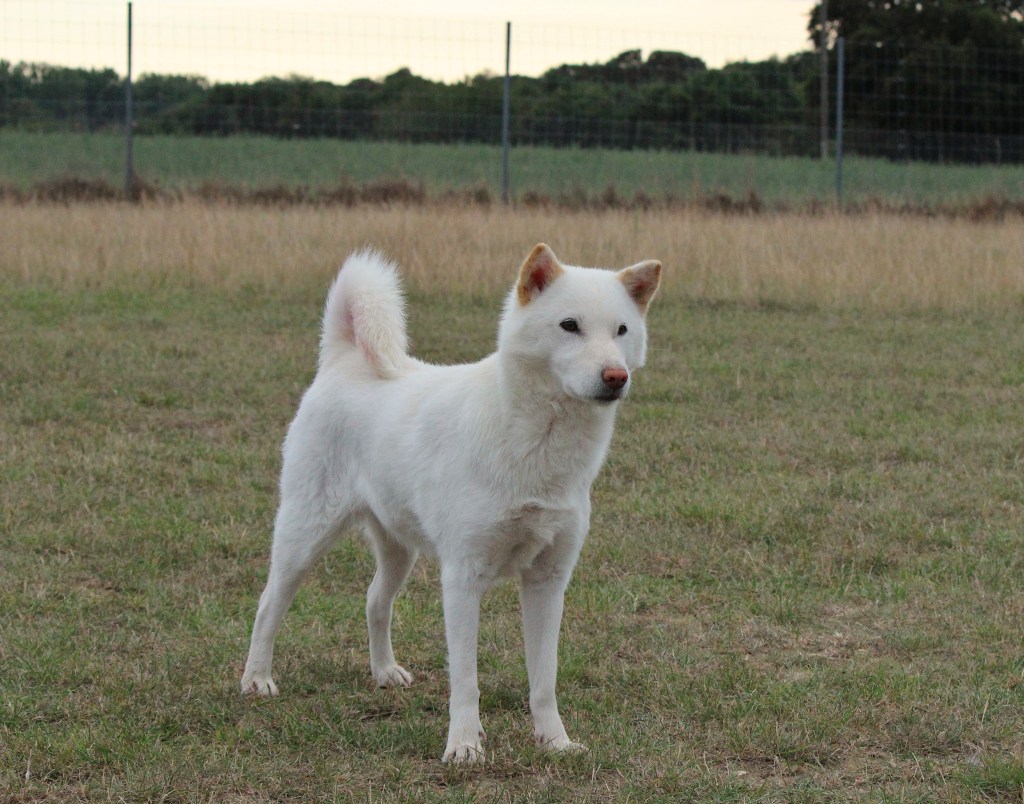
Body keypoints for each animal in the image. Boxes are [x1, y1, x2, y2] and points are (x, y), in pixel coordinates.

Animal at [241, 243, 661, 763]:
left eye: (621, 330)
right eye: (569, 325)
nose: (615, 376)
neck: (538, 442)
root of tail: (343, 362)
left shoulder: (548, 581)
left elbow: (544, 680)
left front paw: (555, 742)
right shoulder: (463, 578)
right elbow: (466, 680)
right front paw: (464, 746)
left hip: (398, 549)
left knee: (374, 600)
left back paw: (385, 672)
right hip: (304, 536)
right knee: (269, 604)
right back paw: (257, 679)